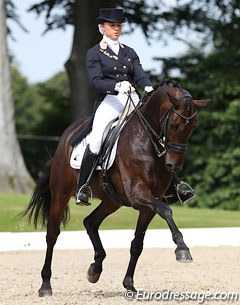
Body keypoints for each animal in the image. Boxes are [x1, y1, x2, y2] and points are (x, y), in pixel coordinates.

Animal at [23, 78, 209, 294]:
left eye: (194, 127)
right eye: (174, 124)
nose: (173, 166)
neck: (145, 140)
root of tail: (68, 135)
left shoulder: (148, 206)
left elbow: (137, 244)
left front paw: (129, 284)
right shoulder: (139, 194)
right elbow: (166, 210)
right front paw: (182, 249)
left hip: (112, 200)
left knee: (90, 222)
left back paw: (95, 269)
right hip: (61, 193)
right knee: (52, 234)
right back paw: (45, 285)